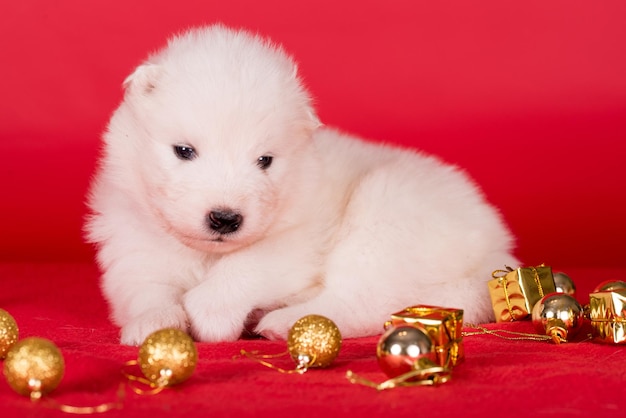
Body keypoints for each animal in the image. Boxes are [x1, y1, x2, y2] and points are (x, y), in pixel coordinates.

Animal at [86, 26, 516, 346]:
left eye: (265, 160)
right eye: (184, 151)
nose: (225, 219)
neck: (206, 255)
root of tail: (495, 251)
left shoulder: (299, 240)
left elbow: (248, 265)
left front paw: (209, 310)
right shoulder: (133, 246)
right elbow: (145, 288)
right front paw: (153, 323)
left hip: (386, 215)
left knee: (362, 301)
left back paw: (284, 321)